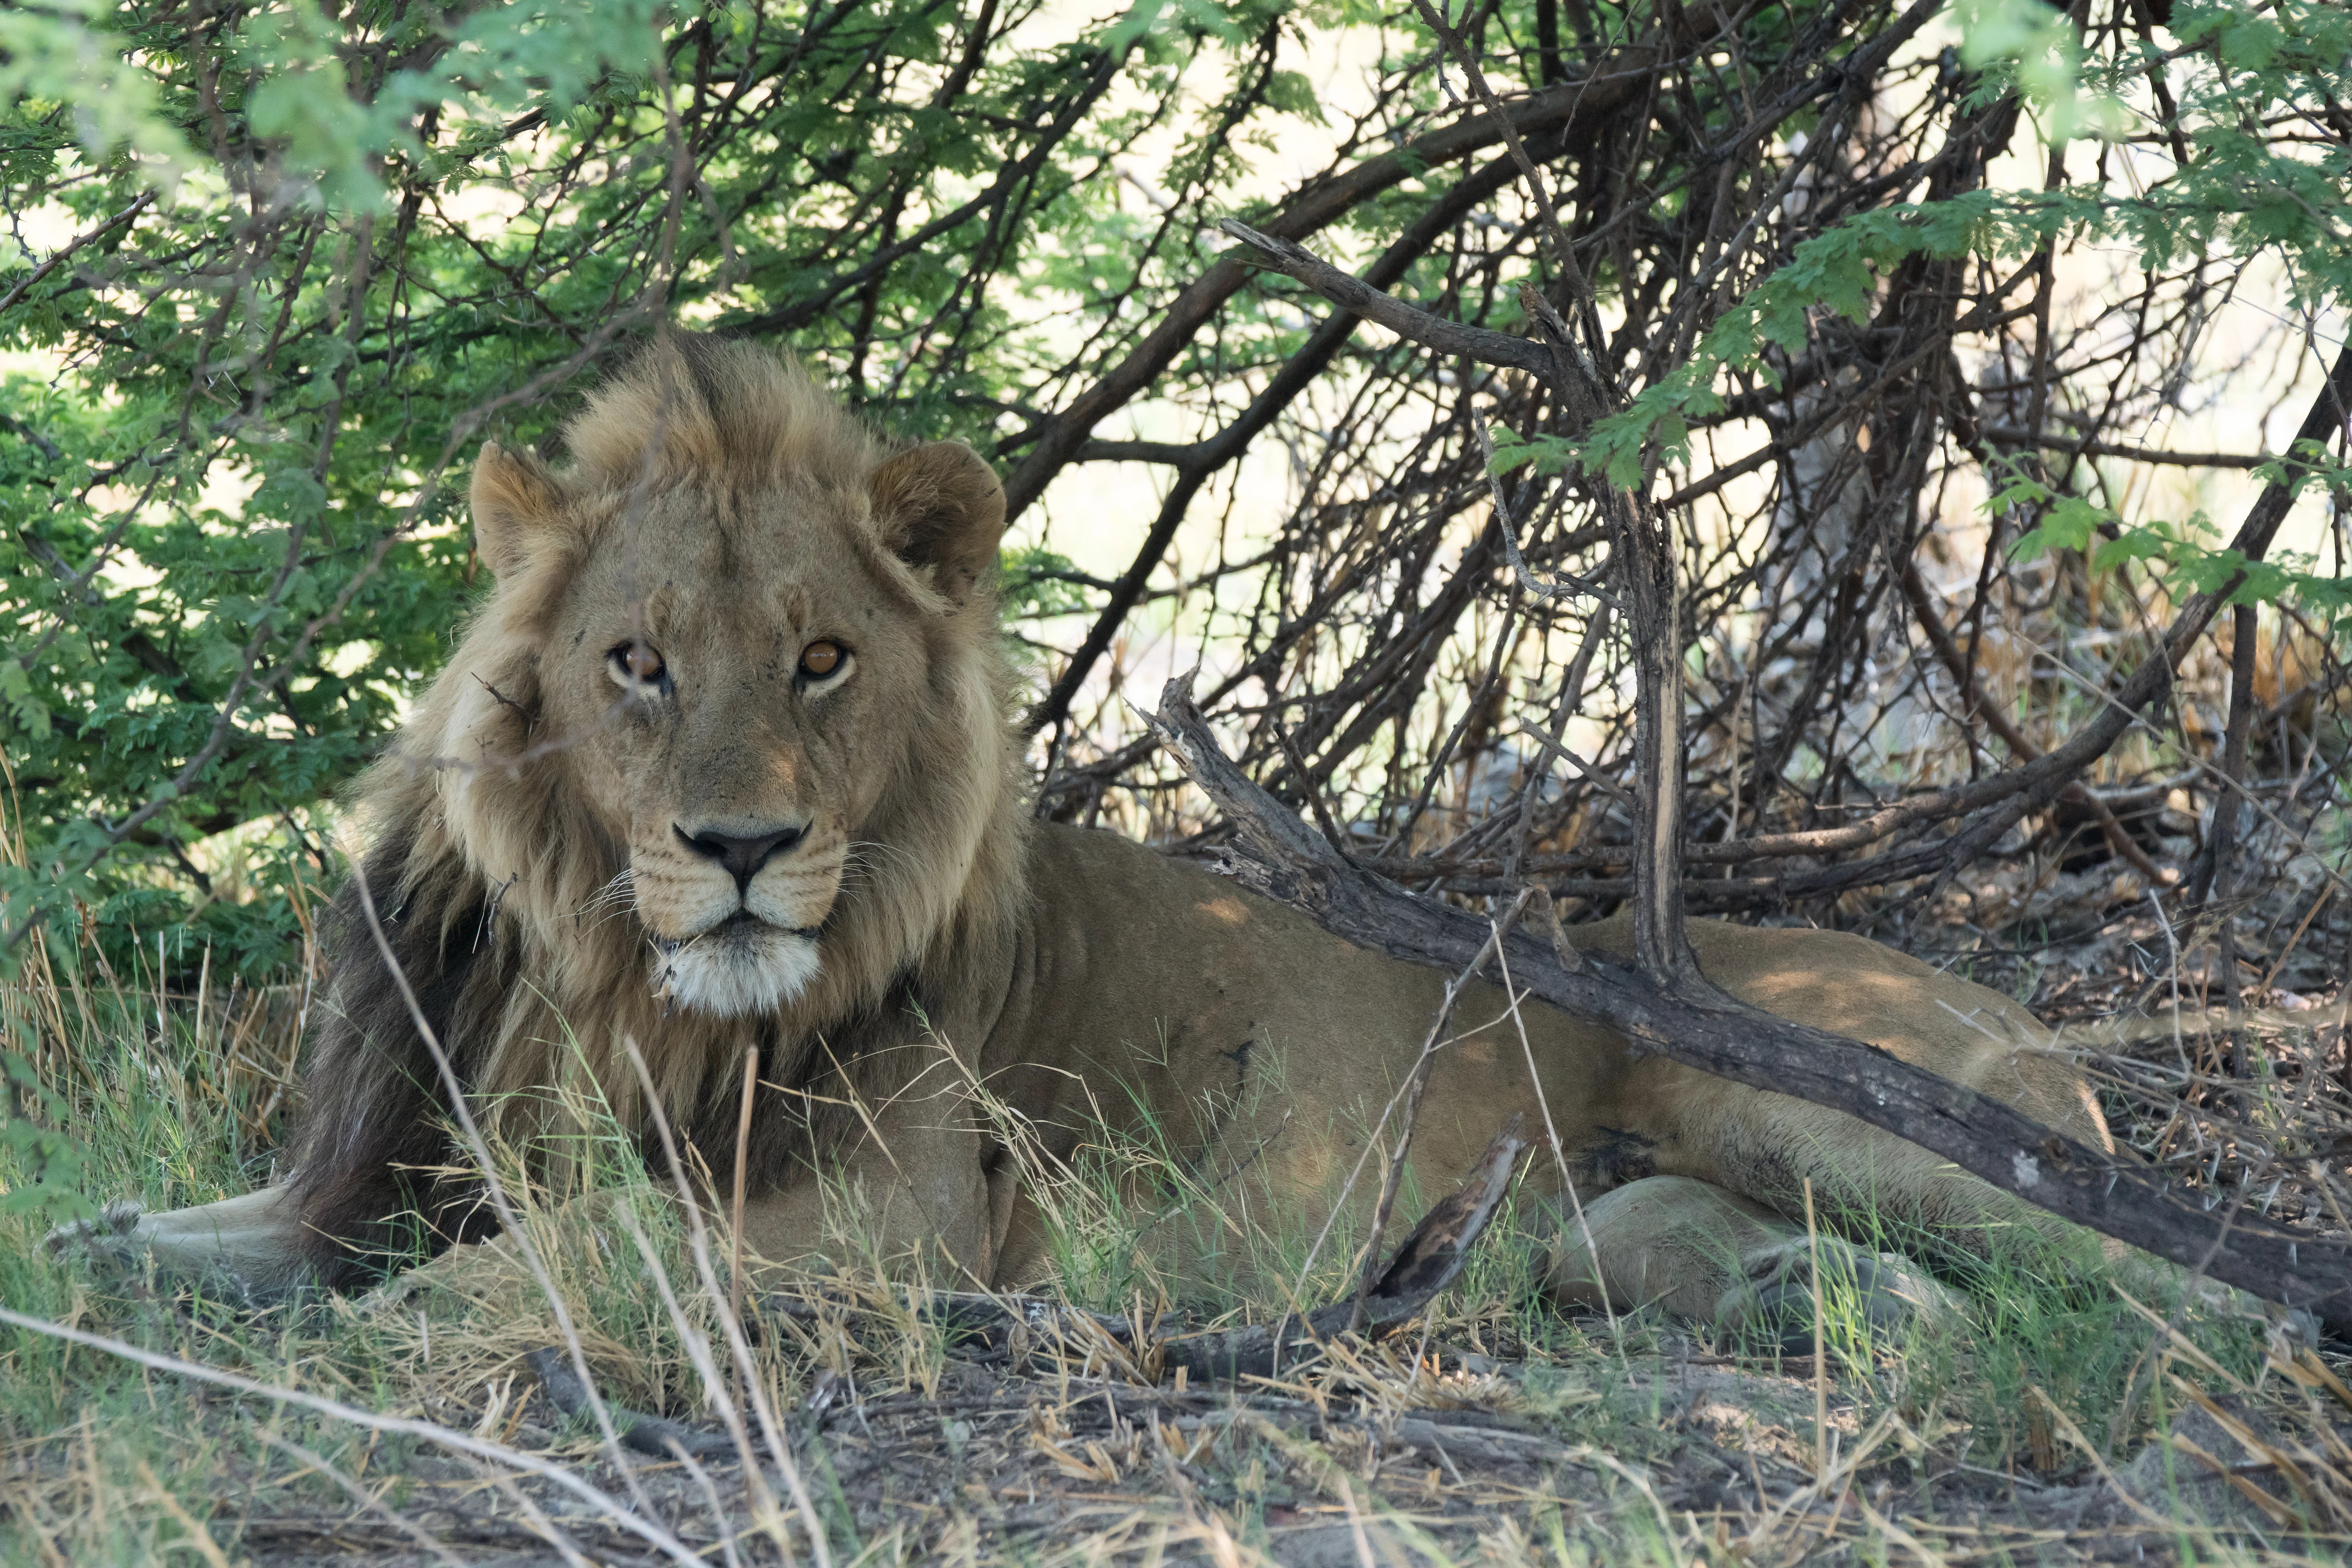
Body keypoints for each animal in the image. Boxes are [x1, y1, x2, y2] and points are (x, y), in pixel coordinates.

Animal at [55, 335, 2156, 1344]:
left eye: (821, 657)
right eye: (634, 661)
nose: (737, 845)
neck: (608, 983)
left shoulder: (901, 1223)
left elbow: (575, 1250)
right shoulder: (373, 1161)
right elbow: (187, 1236)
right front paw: (111, 1254)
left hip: (1831, 1111)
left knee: (2125, 1271)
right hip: (1600, 1219)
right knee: (1642, 1245)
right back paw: (1818, 1304)